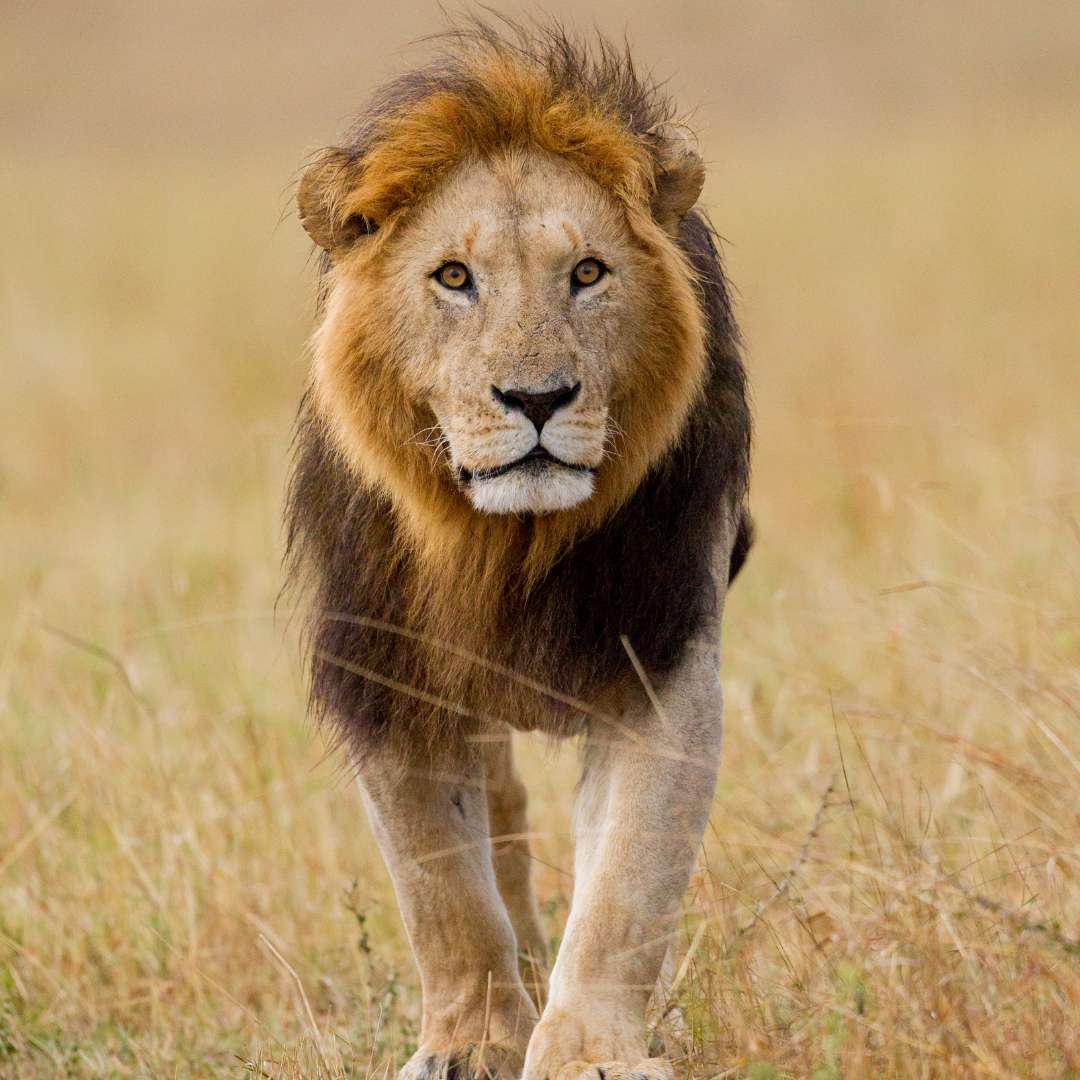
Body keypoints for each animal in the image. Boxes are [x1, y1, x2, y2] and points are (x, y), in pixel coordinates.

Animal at [286, 19, 752, 1080]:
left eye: (588, 273)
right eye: (455, 278)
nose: (537, 399)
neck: (502, 544)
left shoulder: (660, 661)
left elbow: (625, 888)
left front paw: (588, 1050)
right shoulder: (388, 675)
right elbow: (442, 894)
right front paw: (473, 1041)